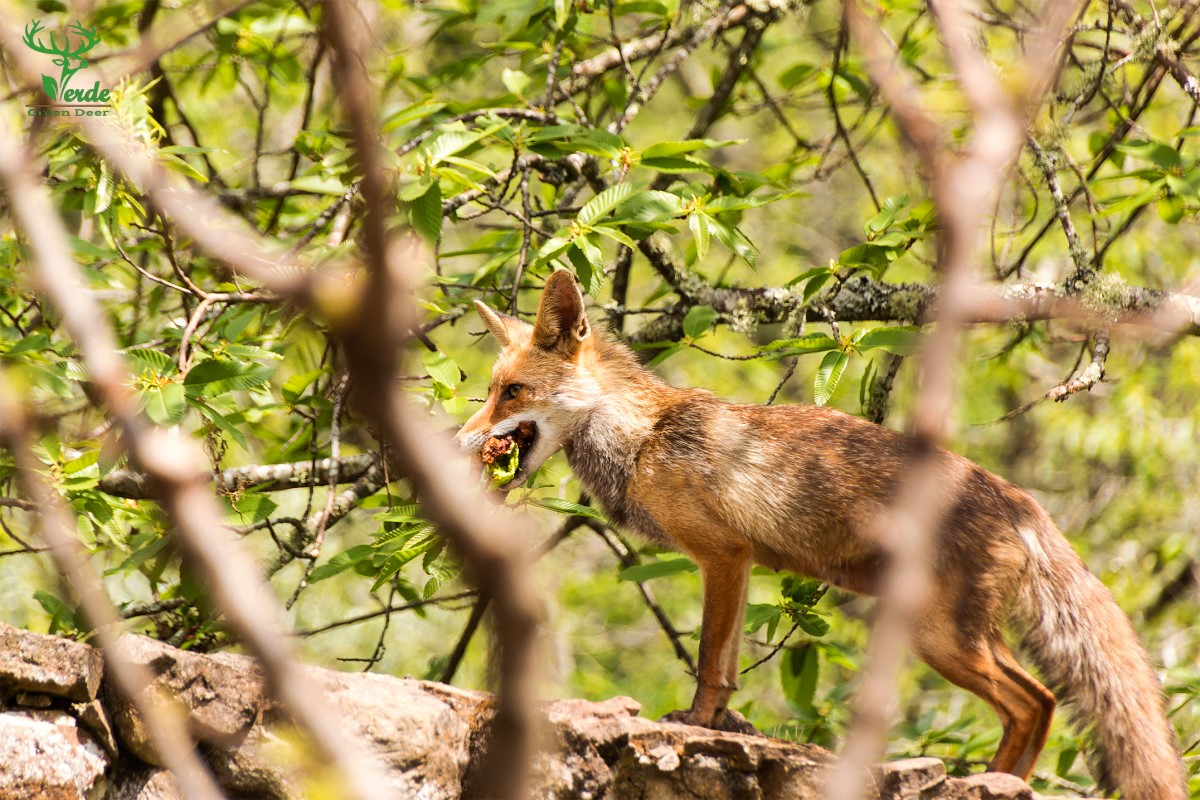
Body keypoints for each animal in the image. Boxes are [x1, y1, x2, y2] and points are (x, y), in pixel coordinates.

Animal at [453, 271, 1185, 800]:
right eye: (489, 389)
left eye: (511, 392)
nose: (456, 442)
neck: (643, 441)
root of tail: (1022, 501)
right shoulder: (741, 562)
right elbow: (725, 668)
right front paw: (720, 727)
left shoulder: (722, 555)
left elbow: (710, 660)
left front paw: (692, 724)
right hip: (962, 636)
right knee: (1037, 705)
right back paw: (998, 780)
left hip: (940, 638)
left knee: (1035, 703)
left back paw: (991, 781)